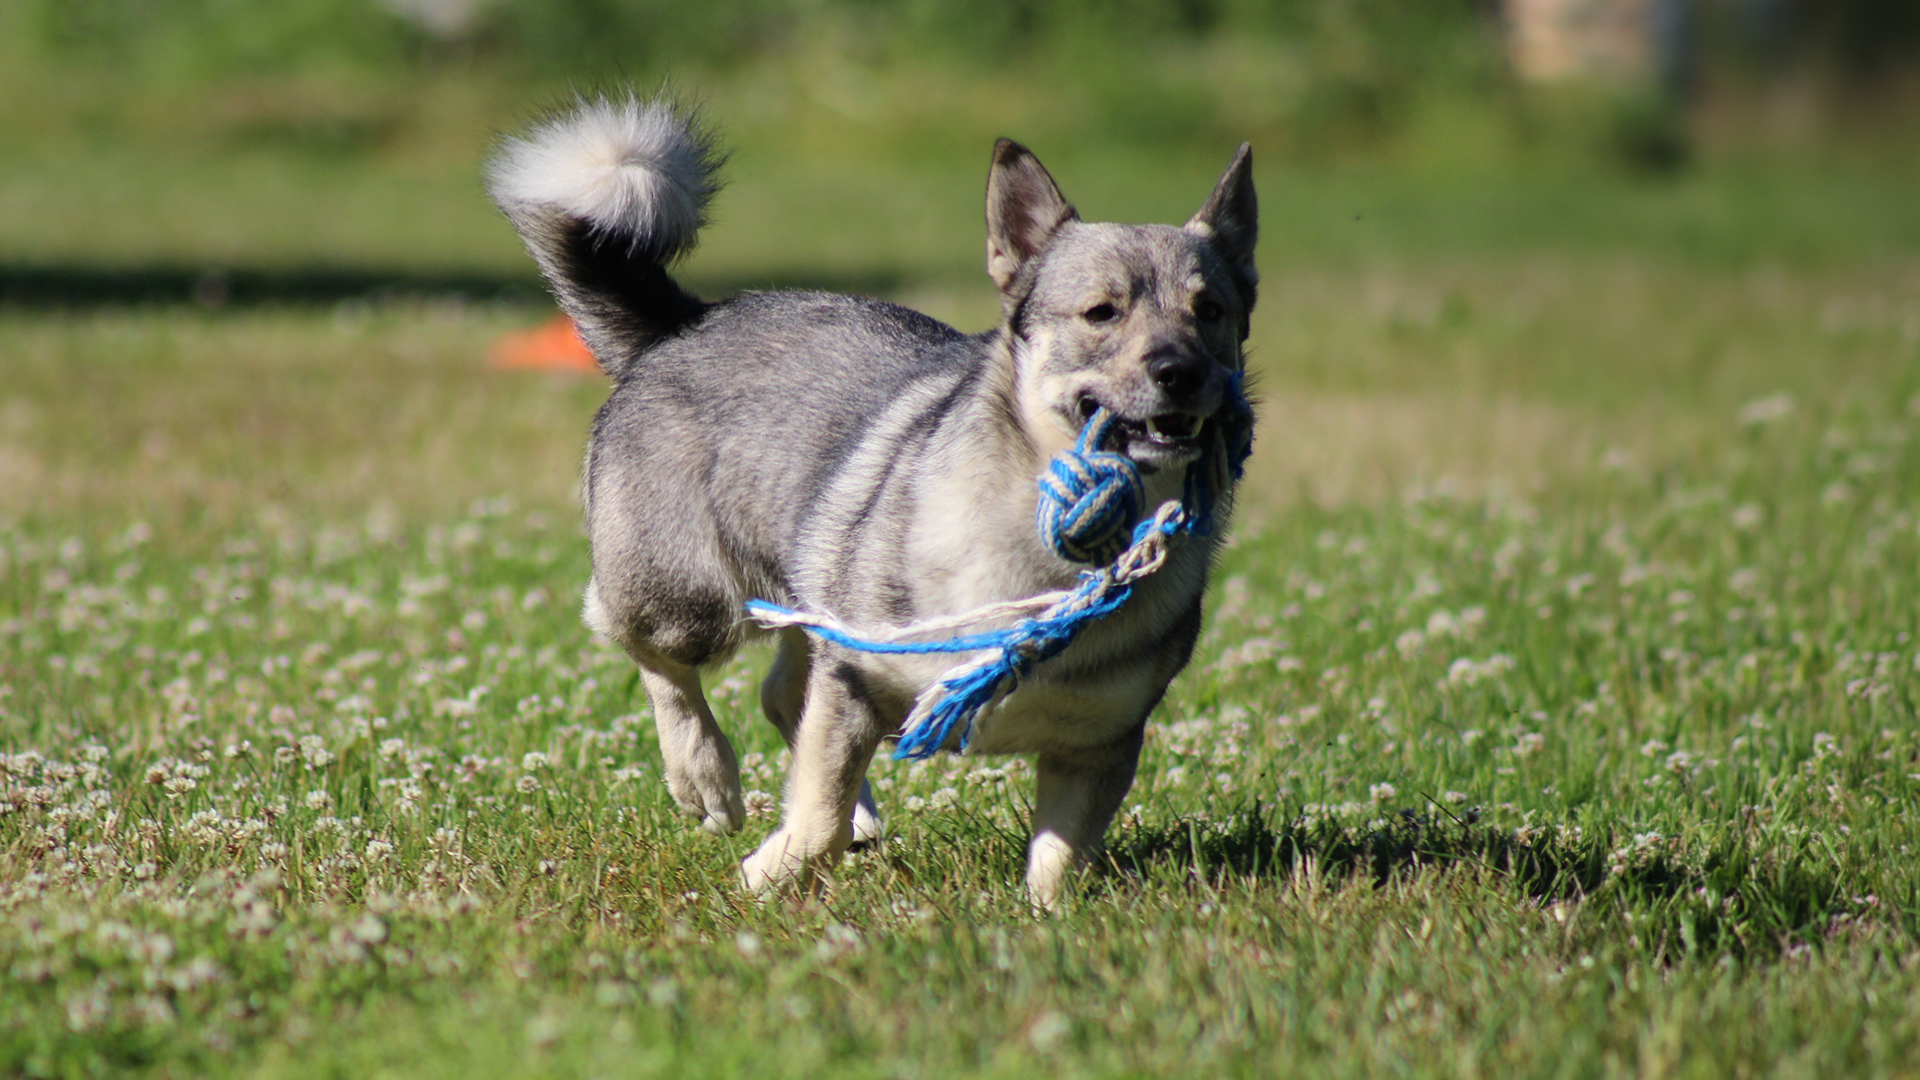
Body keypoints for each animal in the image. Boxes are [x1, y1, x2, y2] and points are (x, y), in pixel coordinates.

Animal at [487, 92, 1251, 903]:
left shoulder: (1099, 744)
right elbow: (815, 811)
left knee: (783, 692)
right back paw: (706, 777)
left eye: (1211, 312)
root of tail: (685, 322)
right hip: (691, 602)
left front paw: (1046, 916)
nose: (1180, 371)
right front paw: (768, 872)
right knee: (644, 645)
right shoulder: (856, 679)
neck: (1049, 560)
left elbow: (1059, 861)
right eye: (1102, 313)